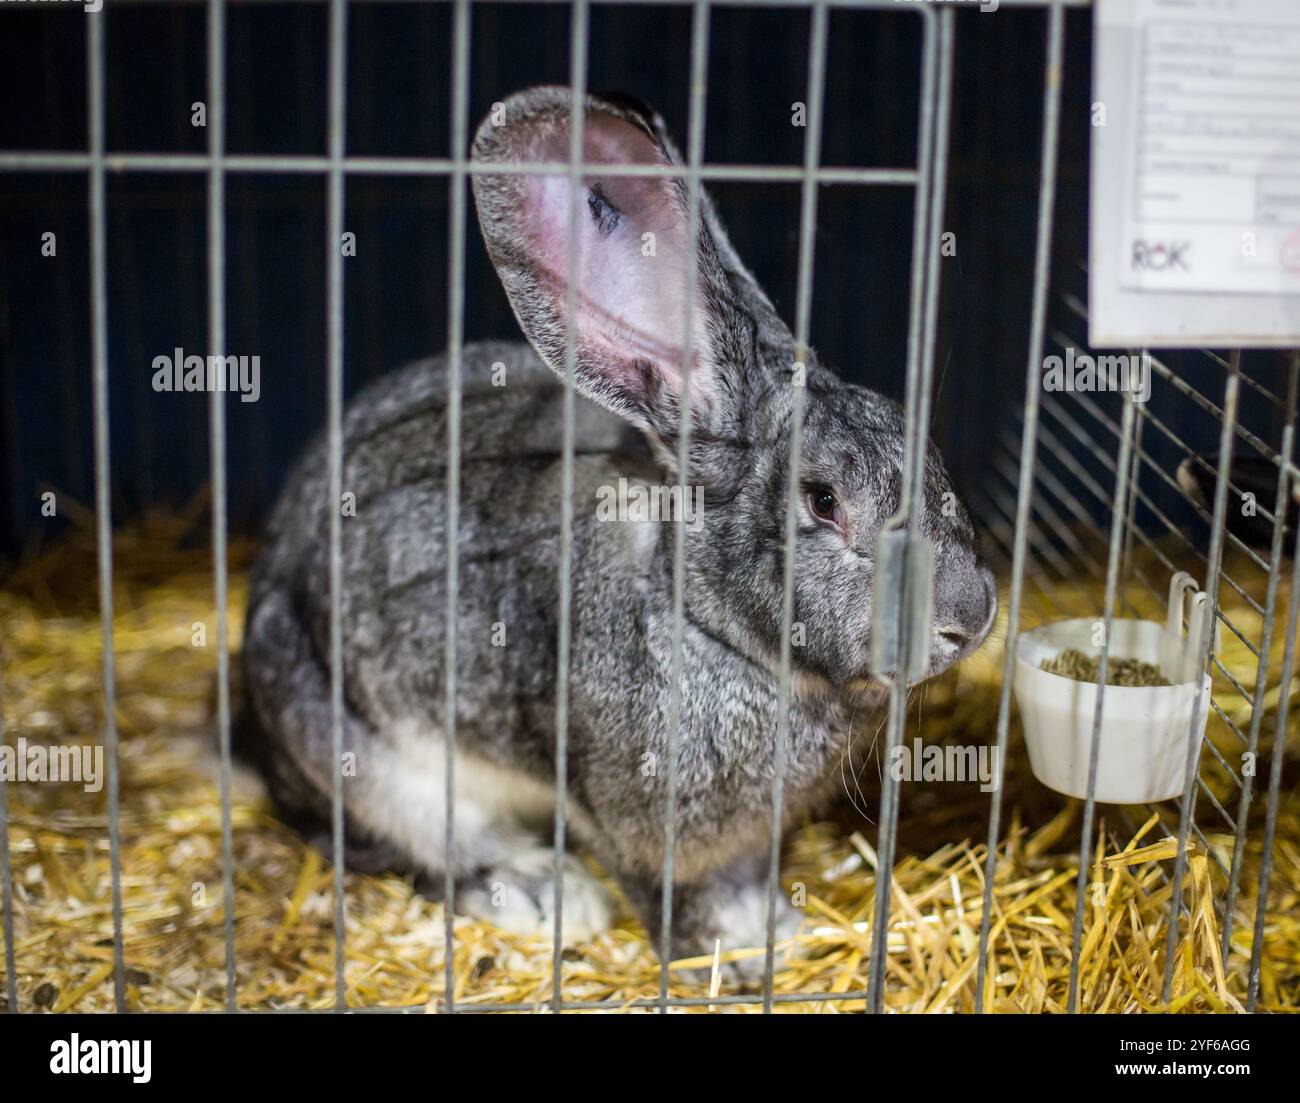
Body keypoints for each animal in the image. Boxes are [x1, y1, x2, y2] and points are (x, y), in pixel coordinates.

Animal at [241, 88, 993, 983]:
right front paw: (722, 958)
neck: (702, 615)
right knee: (418, 847)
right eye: (821, 500)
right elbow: (666, 889)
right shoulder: (625, 811)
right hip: (368, 756)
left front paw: (773, 929)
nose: (971, 615)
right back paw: (539, 890)